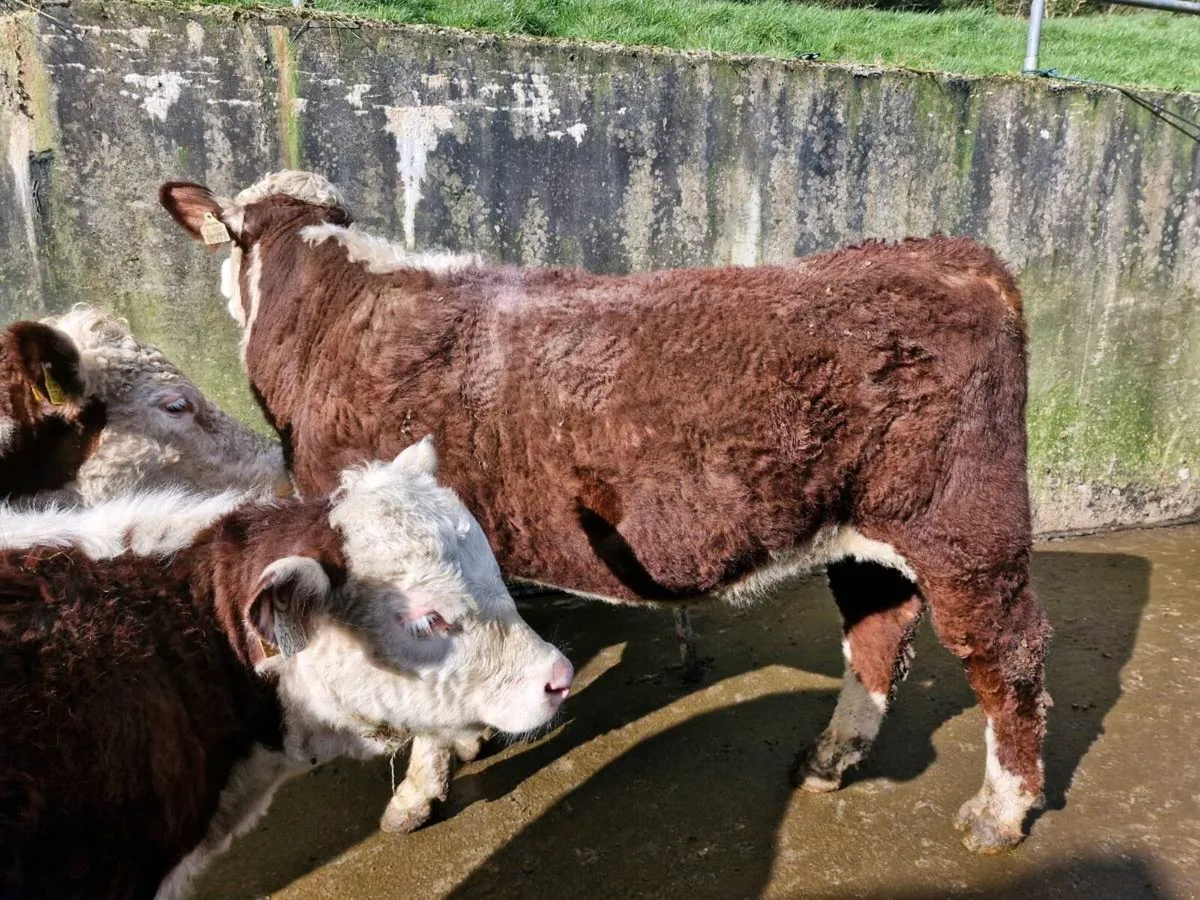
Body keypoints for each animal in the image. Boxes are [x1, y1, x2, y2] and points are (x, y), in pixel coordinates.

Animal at [161, 171, 1051, 854]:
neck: (333, 321)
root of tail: (957, 256)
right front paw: (471, 735)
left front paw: (416, 794)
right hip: (867, 535)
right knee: (876, 634)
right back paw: (832, 758)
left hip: (965, 532)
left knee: (1008, 659)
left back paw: (1000, 812)